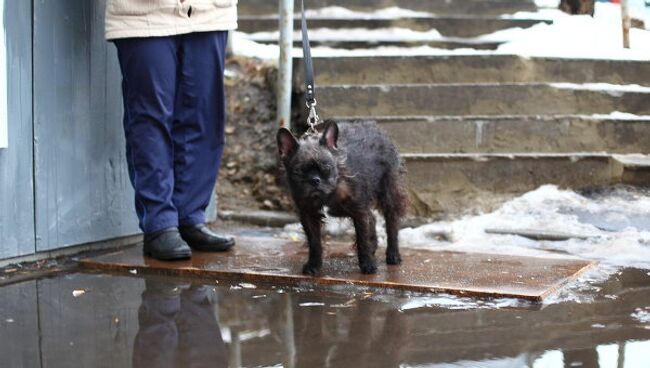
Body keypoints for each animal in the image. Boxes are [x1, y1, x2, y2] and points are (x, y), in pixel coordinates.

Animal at [276, 121, 408, 276]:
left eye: (327, 167)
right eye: (298, 171)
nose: (315, 180)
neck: (327, 195)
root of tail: (376, 128)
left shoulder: (359, 213)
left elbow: (363, 240)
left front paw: (368, 264)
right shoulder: (309, 216)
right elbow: (314, 242)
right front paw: (313, 265)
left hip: (389, 193)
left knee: (391, 222)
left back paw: (393, 254)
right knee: (373, 218)